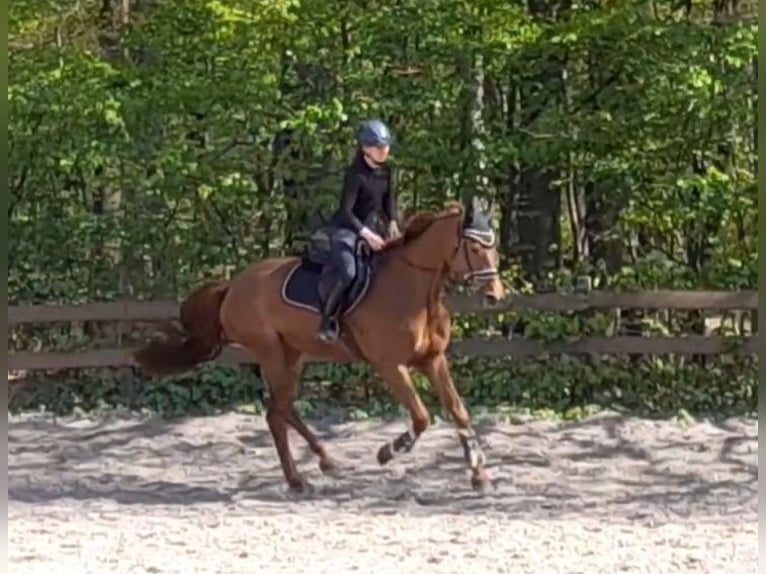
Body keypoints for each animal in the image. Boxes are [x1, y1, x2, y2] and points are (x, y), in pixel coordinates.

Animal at [133, 198, 506, 493]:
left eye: (493, 247)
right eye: (475, 249)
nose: (495, 297)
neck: (414, 289)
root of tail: (232, 286)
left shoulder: (432, 359)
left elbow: (458, 411)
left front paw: (479, 475)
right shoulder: (390, 365)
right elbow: (422, 417)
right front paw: (387, 452)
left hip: (294, 355)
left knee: (283, 409)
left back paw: (325, 463)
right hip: (271, 353)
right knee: (276, 412)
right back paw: (298, 480)